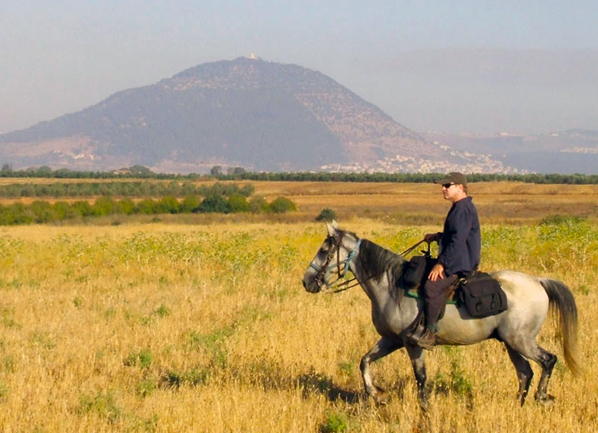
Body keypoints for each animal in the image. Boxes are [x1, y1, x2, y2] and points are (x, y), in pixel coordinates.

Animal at [304, 221, 580, 406]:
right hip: (511, 343)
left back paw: (542, 397)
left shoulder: (412, 343)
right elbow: (365, 361)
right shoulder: (391, 340)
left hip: (521, 340)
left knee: (548, 360)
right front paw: (376, 394)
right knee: (525, 373)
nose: (306, 282)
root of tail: (538, 282)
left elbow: (421, 377)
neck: (391, 285)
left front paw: (424, 408)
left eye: (324, 250)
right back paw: (518, 406)